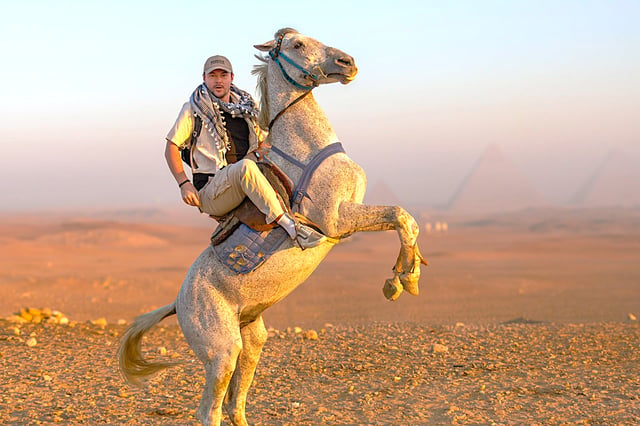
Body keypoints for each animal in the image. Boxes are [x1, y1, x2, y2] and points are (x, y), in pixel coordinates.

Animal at [118, 28, 427, 426]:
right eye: (297, 45)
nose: (347, 62)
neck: (305, 150)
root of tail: (178, 302)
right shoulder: (336, 220)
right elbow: (400, 216)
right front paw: (403, 281)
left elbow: (406, 222)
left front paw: (404, 277)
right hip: (222, 352)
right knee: (210, 410)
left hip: (252, 340)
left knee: (235, 404)